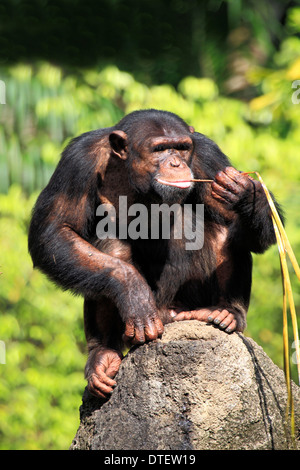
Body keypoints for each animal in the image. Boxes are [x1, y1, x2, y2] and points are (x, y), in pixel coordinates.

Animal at [27, 109, 282, 396]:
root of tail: (166, 314)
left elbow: (238, 221)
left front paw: (244, 191)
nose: (176, 163)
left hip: (187, 302)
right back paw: (104, 353)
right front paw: (133, 292)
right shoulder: (78, 160)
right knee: (109, 246)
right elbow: (55, 231)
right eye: (159, 149)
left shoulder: (208, 156)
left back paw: (227, 311)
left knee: (224, 230)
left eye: (182, 148)